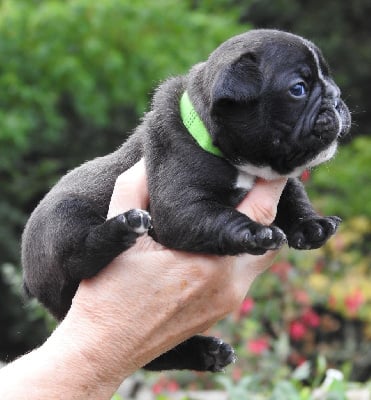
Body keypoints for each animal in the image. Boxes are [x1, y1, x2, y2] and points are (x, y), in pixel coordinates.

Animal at [21, 29, 352, 374]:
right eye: (298, 89)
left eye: (329, 80)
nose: (337, 97)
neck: (237, 160)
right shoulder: (180, 207)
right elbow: (219, 217)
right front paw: (254, 232)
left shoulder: (280, 182)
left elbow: (294, 197)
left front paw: (312, 225)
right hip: (62, 221)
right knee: (78, 255)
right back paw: (124, 227)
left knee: (157, 354)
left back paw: (207, 353)